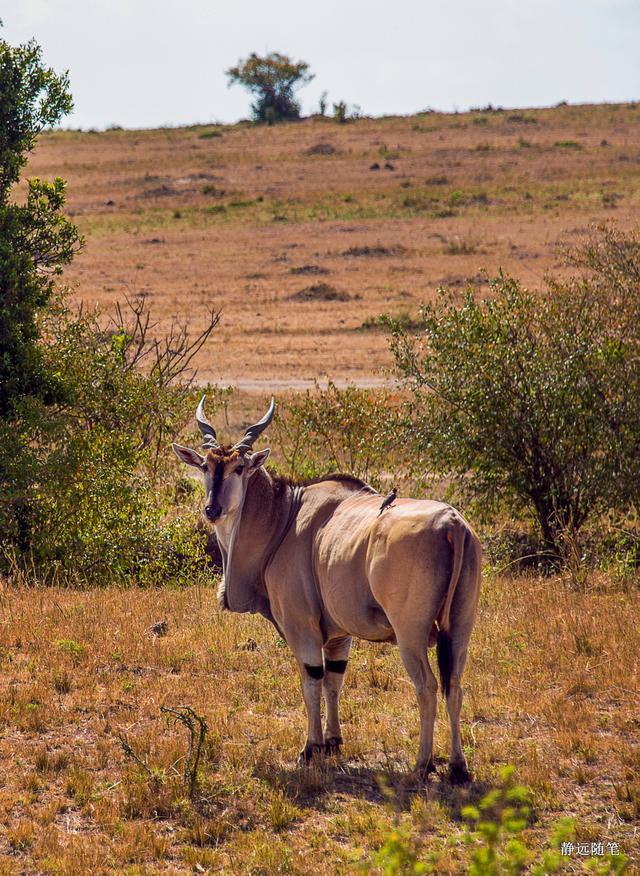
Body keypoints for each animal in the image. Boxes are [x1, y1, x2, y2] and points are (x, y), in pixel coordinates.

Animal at [172, 396, 482, 780]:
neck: (284, 517)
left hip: (411, 632)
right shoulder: (339, 634)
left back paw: (422, 764)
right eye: (206, 466)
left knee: (427, 686)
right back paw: (458, 767)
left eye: (240, 468)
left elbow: (311, 681)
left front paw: (311, 748)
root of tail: (452, 524)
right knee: (454, 685)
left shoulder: (300, 625)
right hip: (460, 628)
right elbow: (334, 680)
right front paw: (334, 742)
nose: (212, 509)